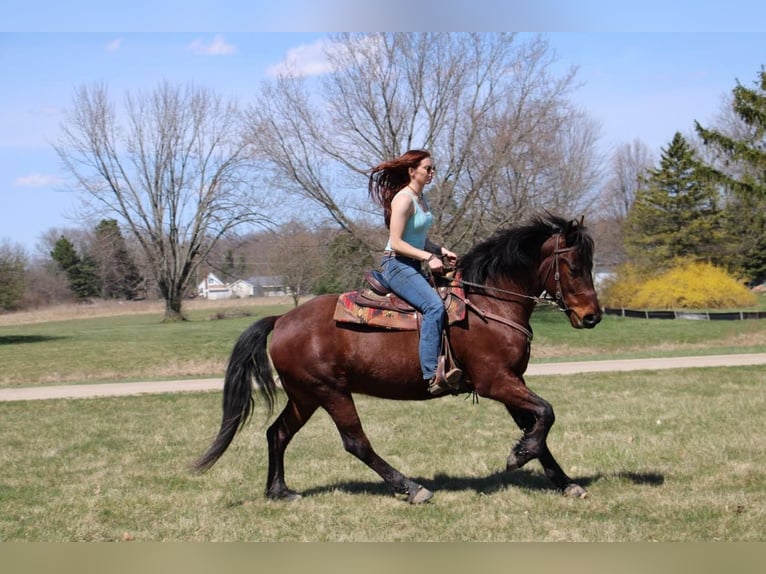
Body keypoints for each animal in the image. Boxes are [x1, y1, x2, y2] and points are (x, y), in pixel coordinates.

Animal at [195, 215, 604, 504]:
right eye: (573, 267)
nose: (592, 317)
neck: (488, 303)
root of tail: (281, 319)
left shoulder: (511, 382)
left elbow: (536, 426)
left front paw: (563, 481)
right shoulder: (497, 382)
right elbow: (546, 413)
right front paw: (519, 457)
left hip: (305, 396)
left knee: (277, 433)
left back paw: (279, 491)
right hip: (330, 393)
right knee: (356, 443)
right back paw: (410, 487)